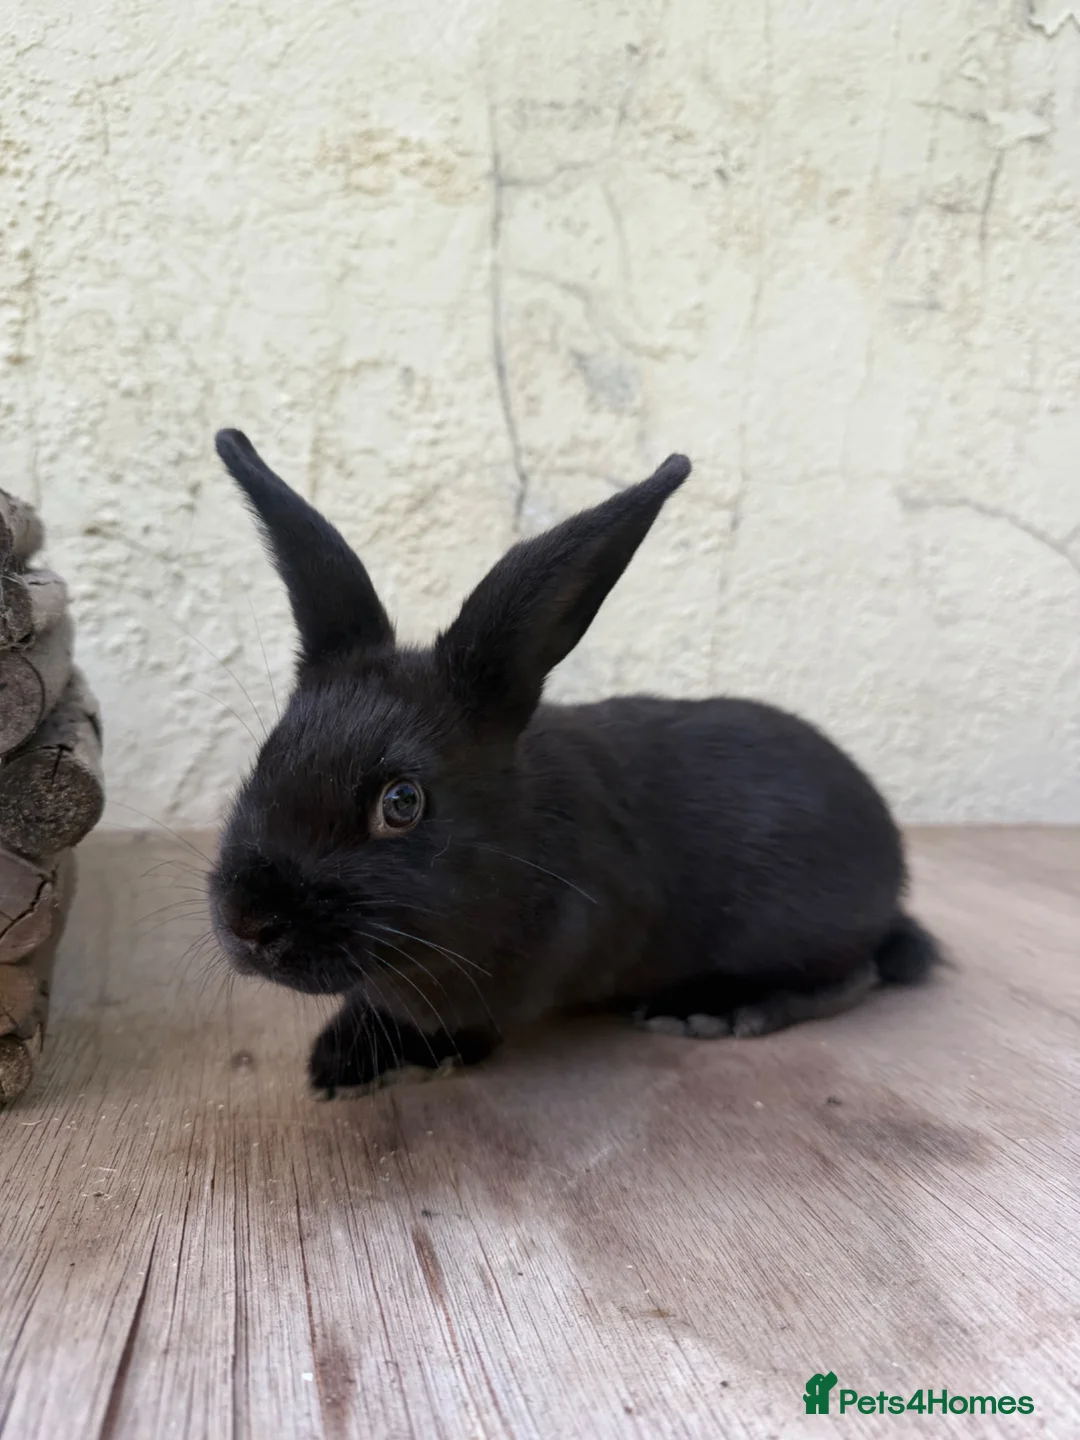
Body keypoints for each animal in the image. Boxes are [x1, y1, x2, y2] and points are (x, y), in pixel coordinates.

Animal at [208, 429, 940, 1097]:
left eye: (402, 802)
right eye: (266, 757)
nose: (250, 922)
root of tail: (893, 863)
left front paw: (380, 1058)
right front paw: (340, 1060)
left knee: (855, 974)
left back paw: (711, 1010)